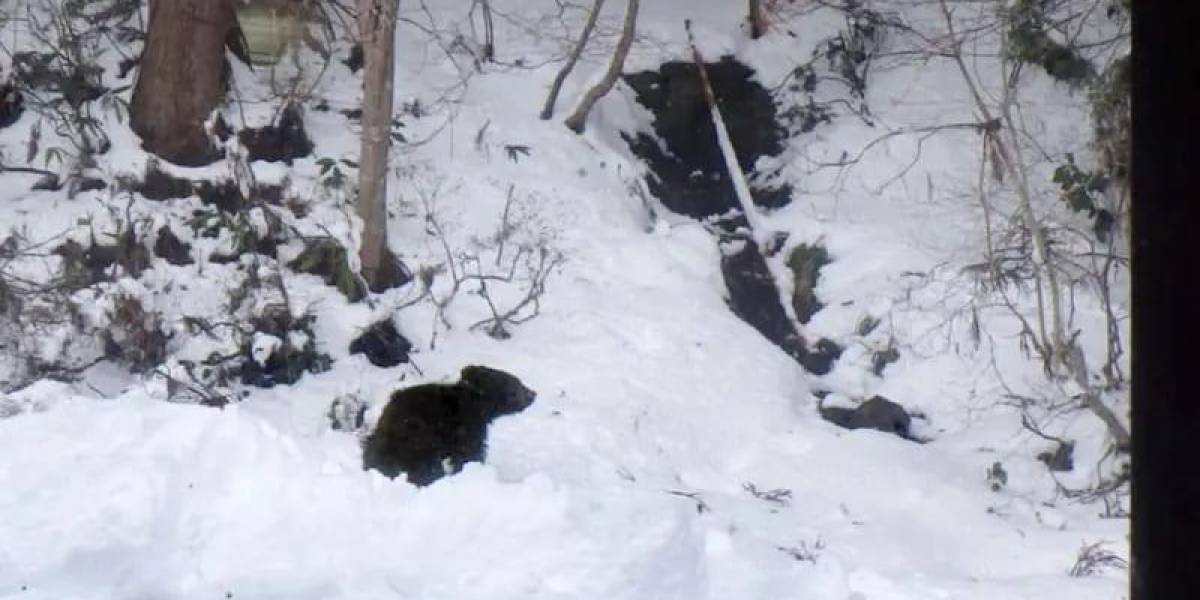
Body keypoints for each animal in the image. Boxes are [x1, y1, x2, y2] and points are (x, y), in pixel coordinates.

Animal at [362, 364, 537, 487]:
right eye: (517, 384)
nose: (533, 393)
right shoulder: (466, 427)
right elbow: (469, 452)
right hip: (417, 441)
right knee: (426, 466)